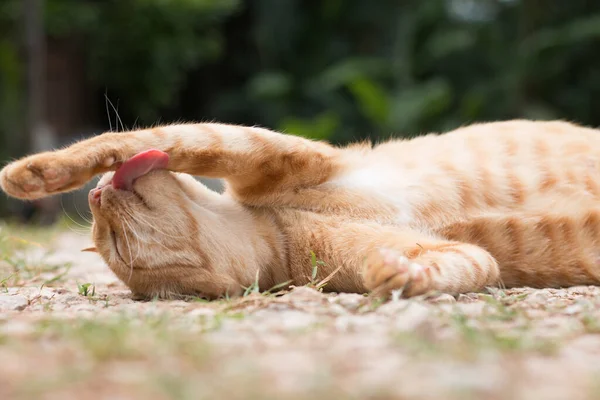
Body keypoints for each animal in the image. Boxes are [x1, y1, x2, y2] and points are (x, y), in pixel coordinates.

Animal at [1, 120, 600, 298]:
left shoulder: (274, 152)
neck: (279, 226)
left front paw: (32, 172)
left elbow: (134, 138)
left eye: (106, 238)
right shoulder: (466, 255)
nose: (96, 197)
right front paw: (399, 275)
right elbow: (463, 264)